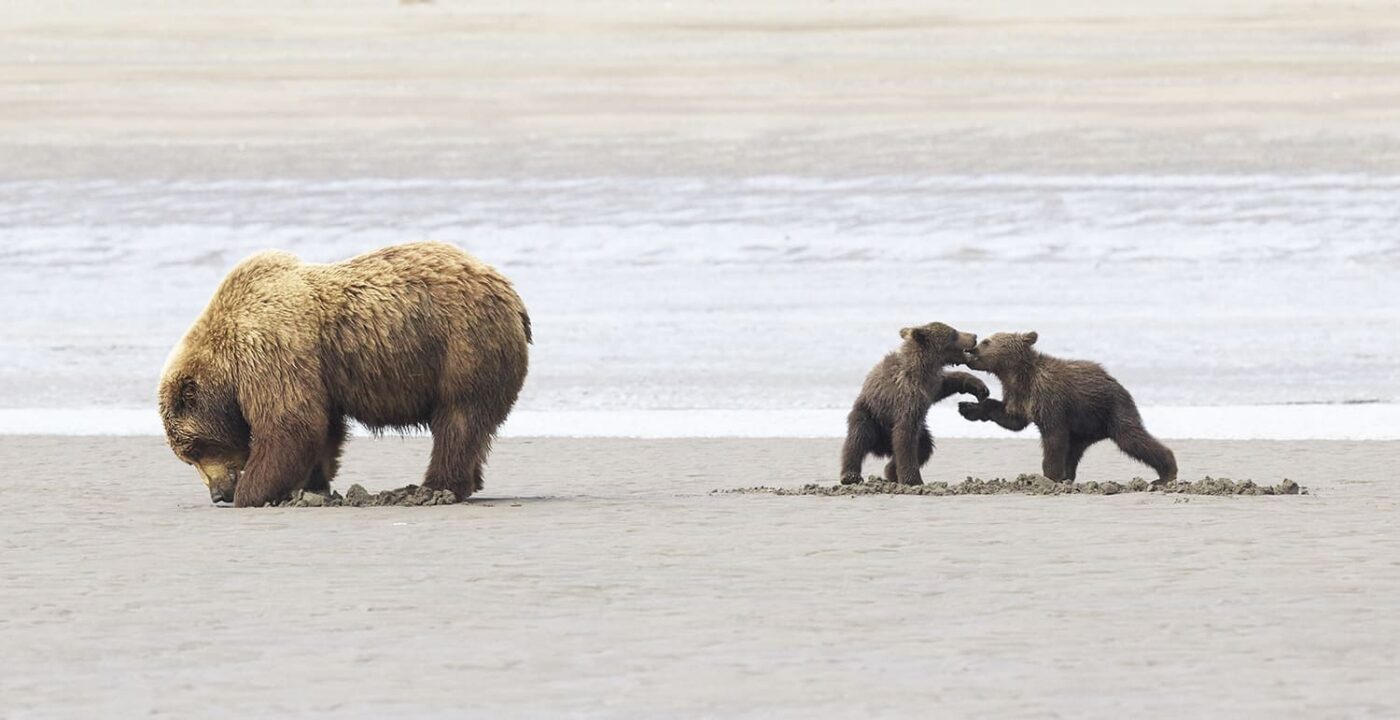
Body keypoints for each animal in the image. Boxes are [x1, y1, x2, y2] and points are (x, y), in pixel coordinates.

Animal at [157, 241, 532, 507]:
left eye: (194, 451)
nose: (217, 493)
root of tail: (512, 295)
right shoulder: (316, 373)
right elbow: (323, 428)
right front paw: (311, 485)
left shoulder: (270, 352)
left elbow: (291, 422)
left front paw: (251, 492)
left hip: (461, 346)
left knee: (458, 418)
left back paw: (433, 487)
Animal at [839, 322, 988, 486]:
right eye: (954, 333)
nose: (974, 336)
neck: (924, 367)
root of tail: (881, 448)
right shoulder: (907, 396)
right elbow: (905, 436)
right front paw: (913, 480)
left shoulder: (931, 386)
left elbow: (947, 383)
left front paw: (979, 387)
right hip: (870, 414)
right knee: (857, 439)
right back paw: (851, 475)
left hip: (919, 433)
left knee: (924, 447)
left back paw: (890, 471)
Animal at [957, 331, 1177, 483]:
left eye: (986, 341)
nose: (970, 350)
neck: (1016, 375)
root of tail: (1117, 383)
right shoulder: (1019, 397)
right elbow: (1011, 418)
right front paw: (968, 407)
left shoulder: (1049, 399)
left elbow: (1053, 438)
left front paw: (1048, 476)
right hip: (1083, 428)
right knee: (1073, 451)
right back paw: (1068, 476)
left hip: (1110, 409)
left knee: (1131, 438)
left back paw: (1166, 473)